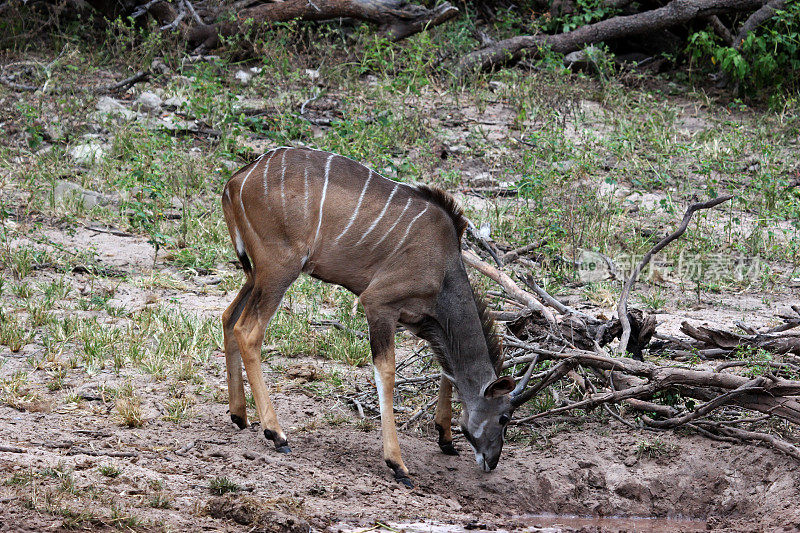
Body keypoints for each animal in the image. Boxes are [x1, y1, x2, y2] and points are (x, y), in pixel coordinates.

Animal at [222, 147, 516, 486]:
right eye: (504, 417)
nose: (492, 461)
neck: (444, 267)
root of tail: (236, 180)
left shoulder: (422, 322)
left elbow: (445, 367)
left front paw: (445, 438)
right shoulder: (379, 303)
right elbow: (386, 373)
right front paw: (397, 464)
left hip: (256, 274)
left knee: (228, 317)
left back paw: (239, 415)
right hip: (278, 270)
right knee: (247, 331)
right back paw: (276, 434)